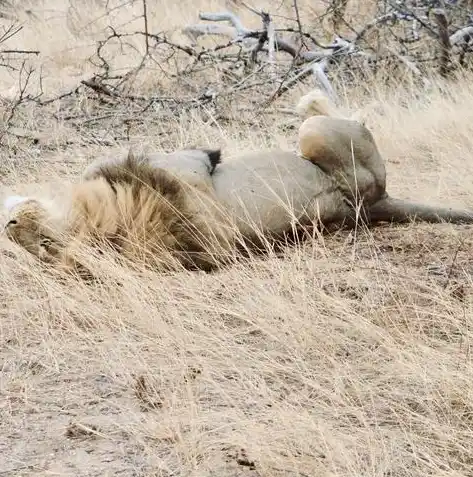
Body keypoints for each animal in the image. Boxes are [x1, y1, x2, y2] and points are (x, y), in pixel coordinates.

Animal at [2, 89, 472, 278]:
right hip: (320, 139)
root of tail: (373, 205)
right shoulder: (191, 183)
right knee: (330, 118)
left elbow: (93, 166)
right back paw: (315, 100)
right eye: (45, 246)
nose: (10, 227)